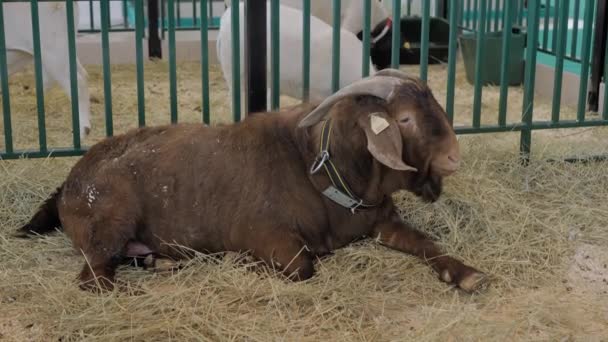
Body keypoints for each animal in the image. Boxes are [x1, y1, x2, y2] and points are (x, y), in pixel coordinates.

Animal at [16, 68, 490, 292]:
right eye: (405, 119)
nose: (454, 157)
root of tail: (70, 181)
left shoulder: (380, 221)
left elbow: (427, 244)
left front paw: (466, 273)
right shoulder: (268, 236)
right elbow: (302, 266)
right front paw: (239, 261)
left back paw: (160, 261)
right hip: (110, 220)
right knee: (94, 278)